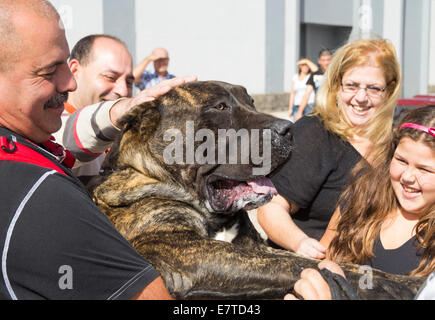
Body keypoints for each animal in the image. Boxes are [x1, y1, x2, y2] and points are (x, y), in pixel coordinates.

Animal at [90, 80, 428, 300]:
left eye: (251, 102)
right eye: (220, 106)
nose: (288, 129)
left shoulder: (253, 249)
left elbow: (316, 262)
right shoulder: (186, 252)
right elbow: (302, 262)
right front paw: (403, 286)